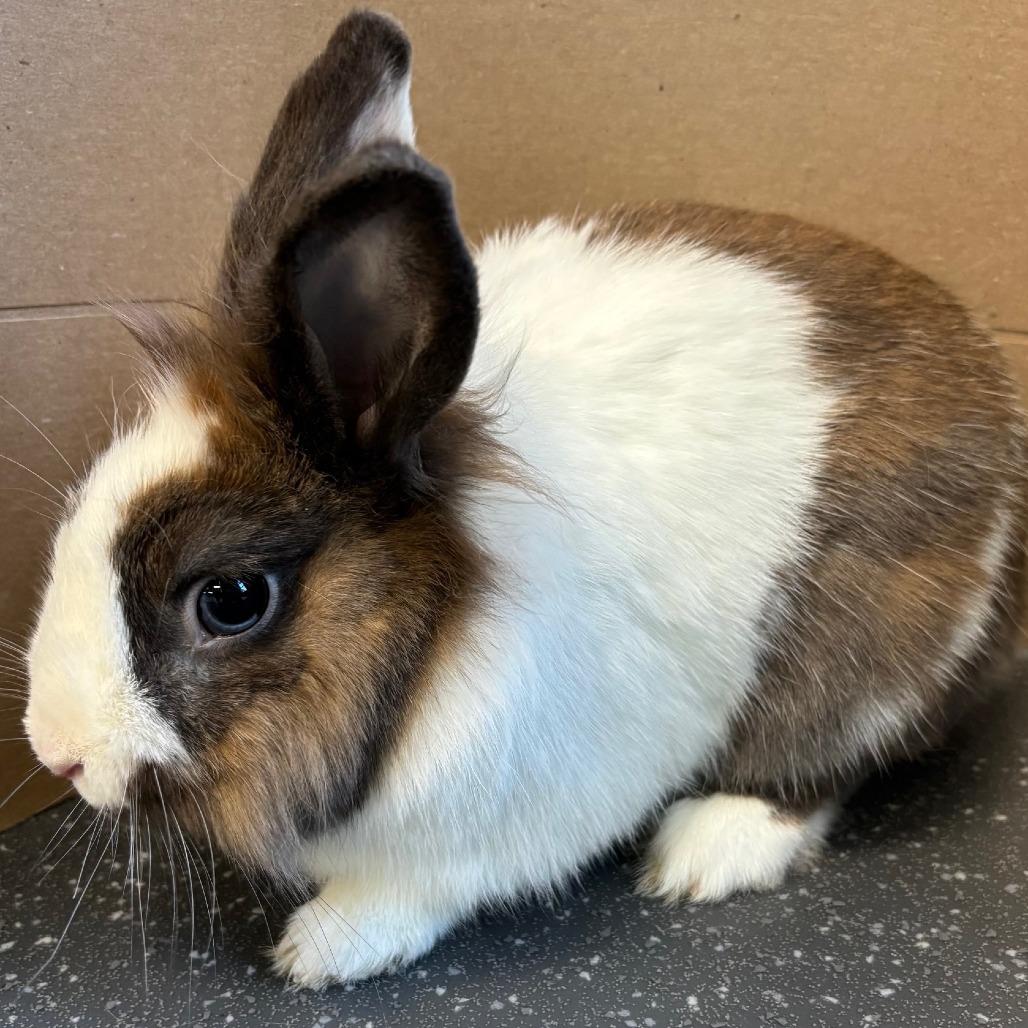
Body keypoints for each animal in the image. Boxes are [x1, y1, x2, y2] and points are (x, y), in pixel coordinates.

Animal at [23, 10, 1026, 987]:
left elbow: (421, 887)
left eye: (230, 599)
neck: (439, 631)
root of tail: (989, 376)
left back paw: (705, 853)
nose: (55, 754)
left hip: (870, 647)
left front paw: (323, 950)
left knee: (823, 760)